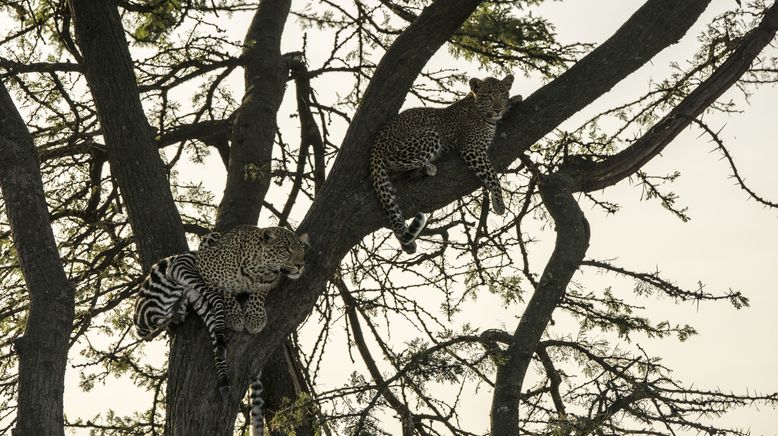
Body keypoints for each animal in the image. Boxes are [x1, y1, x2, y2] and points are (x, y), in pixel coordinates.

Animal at [370, 73, 516, 254]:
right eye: (488, 96)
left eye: (502, 95)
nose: (498, 109)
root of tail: (377, 141)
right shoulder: (472, 149)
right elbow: (492, 175)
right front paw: (499, 204)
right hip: (430, 134)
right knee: (393, 161)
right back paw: (429, 167)